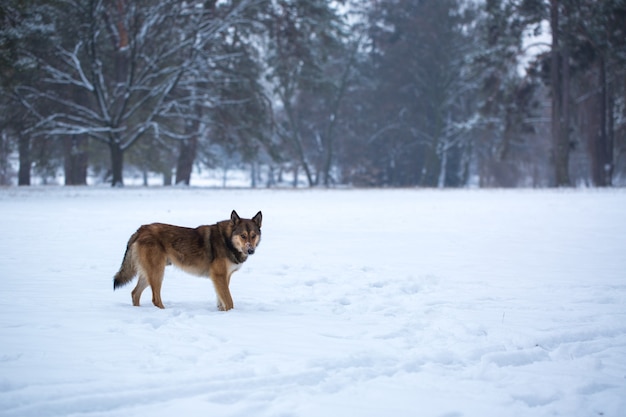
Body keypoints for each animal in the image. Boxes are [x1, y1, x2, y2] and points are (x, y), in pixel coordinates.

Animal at [112, 211, 260, 308]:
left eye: (253, 235)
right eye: (243, 236)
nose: (251, 250)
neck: (227, 240)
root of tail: (140, 229)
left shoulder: (224, 277)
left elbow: (221, 302)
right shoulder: (219, 276)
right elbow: (229, 301)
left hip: (149, 274)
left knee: (135, 293)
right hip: (158, 273)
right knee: (155, 299)